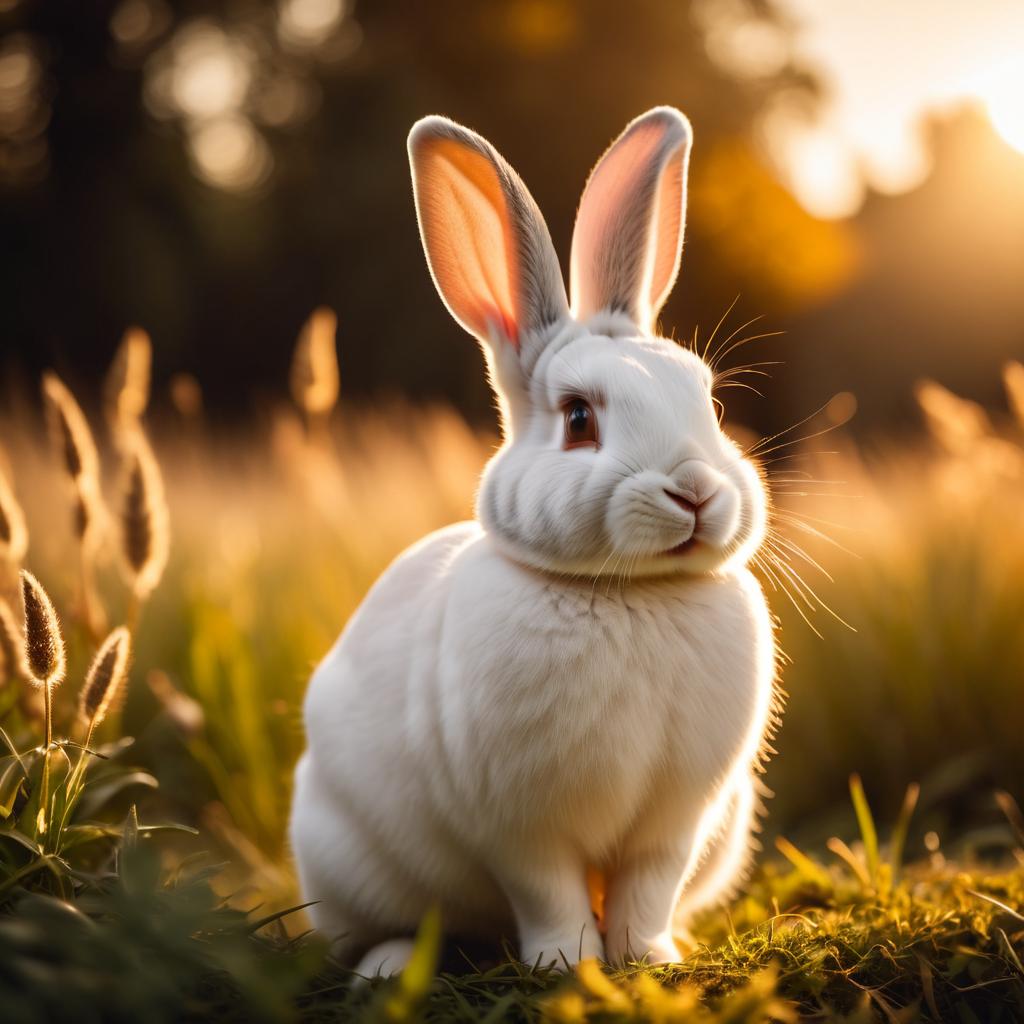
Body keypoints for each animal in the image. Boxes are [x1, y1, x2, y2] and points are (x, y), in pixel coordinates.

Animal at [292, 108, 778, 978]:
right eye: (579, 418)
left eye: (711, 403)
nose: (695, 490)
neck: (627, 592)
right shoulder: (518, 824)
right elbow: (548, 893)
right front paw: (565, 965)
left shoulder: (676, 821)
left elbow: (647, 889)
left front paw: (650, 960)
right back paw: (388, 966)